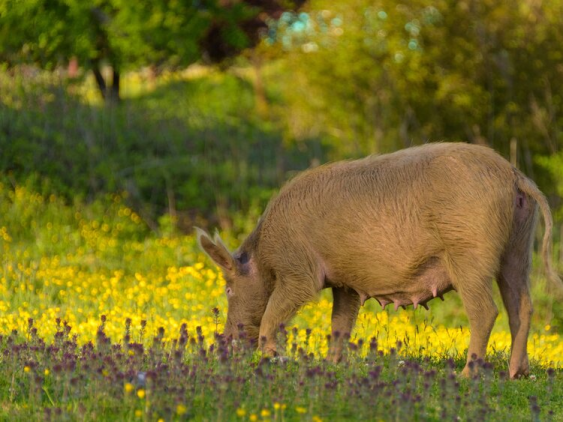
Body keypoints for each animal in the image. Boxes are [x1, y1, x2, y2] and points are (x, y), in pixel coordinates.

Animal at [196, 143, 560, 380]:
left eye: (228, 289)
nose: (224, 341)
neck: (264, 257)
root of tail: (514, 176)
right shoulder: (345, 284)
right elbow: (340, 324)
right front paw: (332, 364)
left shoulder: (298, 272)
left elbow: (276, 310)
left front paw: (270, 356)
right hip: (518, 247)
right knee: (521, 305)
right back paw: (517, 373)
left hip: (469, 252)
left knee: (487, 310)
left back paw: (467, 376)